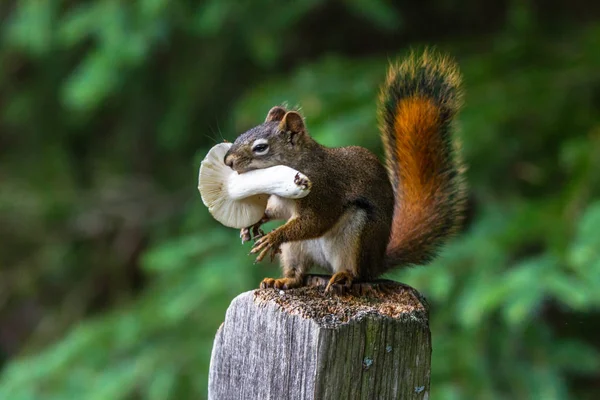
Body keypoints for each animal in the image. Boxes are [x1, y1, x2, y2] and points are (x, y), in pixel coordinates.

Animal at [224, 51, 464, 292]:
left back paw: (343, 276)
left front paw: (274, 237)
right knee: (298, 272)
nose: (228, 161)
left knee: (355, 271)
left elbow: (317, 221)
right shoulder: (282, 201)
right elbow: (276, 211)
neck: (300, 162)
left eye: (260, 147)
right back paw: (283, 280)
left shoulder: (323, 190)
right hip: (296, 249)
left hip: (355, 234)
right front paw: (251, 224)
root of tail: (376, 263)